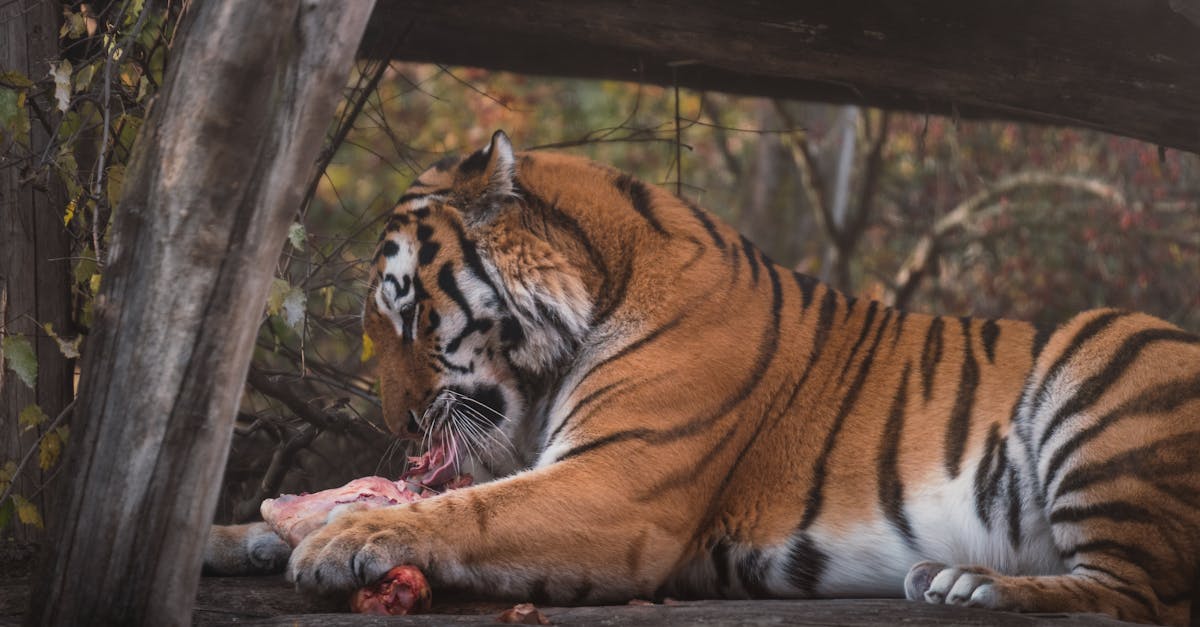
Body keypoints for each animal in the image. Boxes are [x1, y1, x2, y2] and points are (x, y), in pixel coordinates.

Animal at [214, 130, 1200, 625]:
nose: (401, 423)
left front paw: (343, 538)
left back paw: (976, 584)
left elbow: (469, 511)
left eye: (411, 316)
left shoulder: (617, 484)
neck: (604, 279)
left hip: (1110, 355)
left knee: (1136, 595)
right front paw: (249, 533)